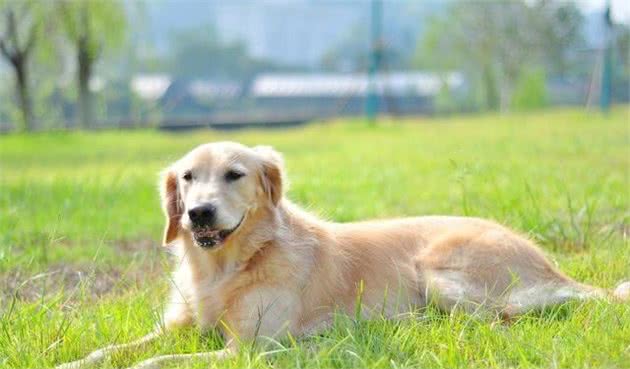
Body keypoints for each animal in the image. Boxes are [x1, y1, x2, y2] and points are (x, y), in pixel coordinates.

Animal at [56, 141, 628, 368]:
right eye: (189, 178)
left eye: (234, 175)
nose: (198, 213)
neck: (225, 268)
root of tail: (552, 266)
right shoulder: (180, 326)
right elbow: (113, 349)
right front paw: (72, 360)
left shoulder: (247, 350)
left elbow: (155, 360)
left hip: (437, 270)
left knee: (495, 323)